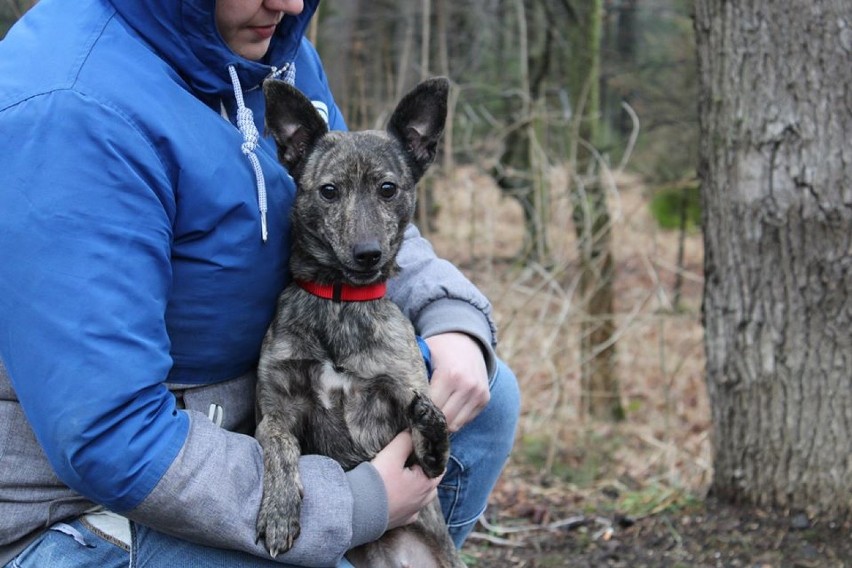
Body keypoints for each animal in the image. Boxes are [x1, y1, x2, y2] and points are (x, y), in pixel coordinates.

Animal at [255, 76, 462, 568]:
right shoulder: (276, 409)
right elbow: (277, 443)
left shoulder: (410, 424)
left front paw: (433, 424)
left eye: (388, 188)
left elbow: (435, 453)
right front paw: (279, 511)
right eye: (329, 191)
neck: (340, 302)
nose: (368, 254)